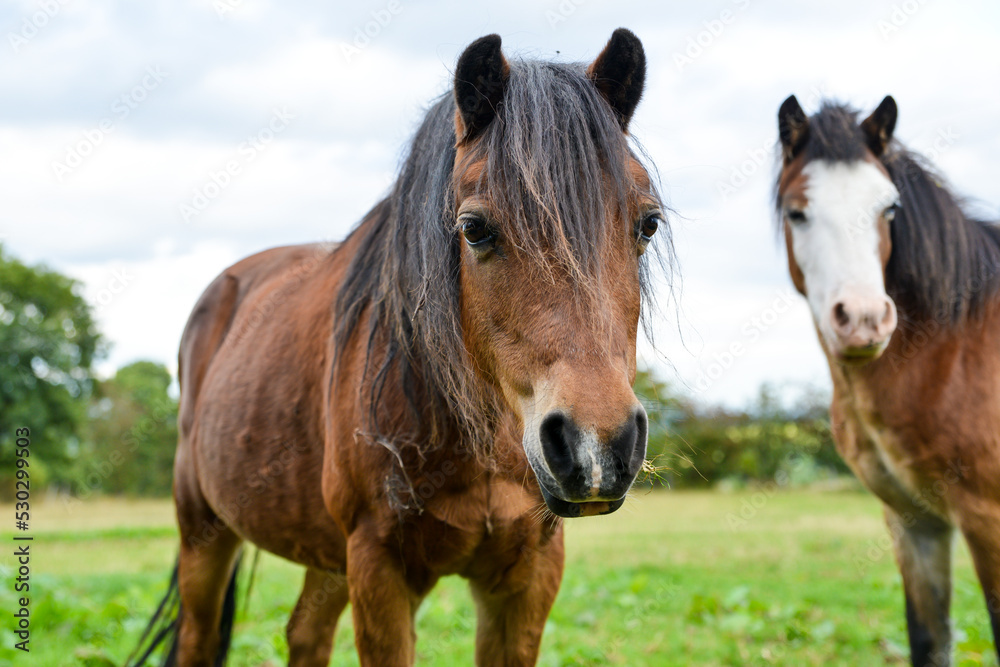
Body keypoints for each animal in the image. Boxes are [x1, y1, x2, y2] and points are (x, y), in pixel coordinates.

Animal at [128, 28, 668, 666]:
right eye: (474, 229)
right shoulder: (378, 569)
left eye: (648, 223)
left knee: (304, 634)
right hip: (205, 533)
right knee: (198, 637)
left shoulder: (529, 576)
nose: (597, 448)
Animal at [775, 95, 1000, 666]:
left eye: (889, 209)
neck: (952, 351)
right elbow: (928, 639)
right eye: (797, 212)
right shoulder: (914, 522)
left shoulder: (987, 519)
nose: (863, 320)